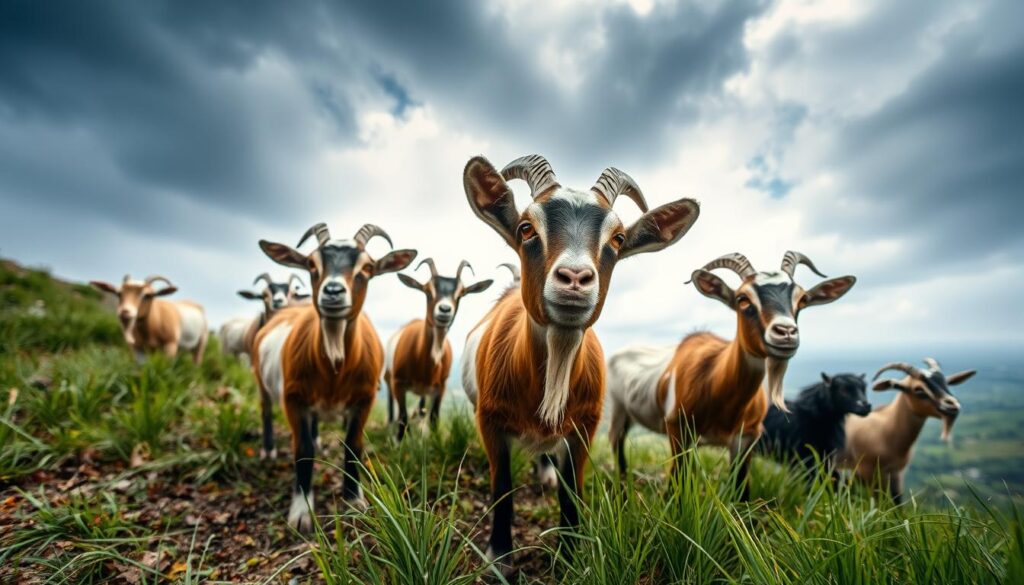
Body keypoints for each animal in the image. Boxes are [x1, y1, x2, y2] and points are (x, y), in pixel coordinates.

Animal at [252, 221, 415, 532]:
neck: (334, 366)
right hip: (261, 380)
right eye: (311, 264)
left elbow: (353, 445)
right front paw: (301, 511)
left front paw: (353, 500)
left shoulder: (365, 398)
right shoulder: (293, 398)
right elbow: (302, 450)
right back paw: (267, 449)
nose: (333, 290)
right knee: (265, 410)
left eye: (367, 267)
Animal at [385, 258, 493, 442]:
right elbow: (403, 417)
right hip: (388, 377)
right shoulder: (398, 383)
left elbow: (434, 417)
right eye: (427, 291)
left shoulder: (440, 387)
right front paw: (399, 442)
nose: (444, 310)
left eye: (460, 294)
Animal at [460, 154, 700, 561]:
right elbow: (502, 488)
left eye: (618, 239)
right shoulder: (488, 421)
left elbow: (571, 492)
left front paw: (571, 553)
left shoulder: (585, 427)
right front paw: (498, 555)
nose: (575, 278)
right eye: (526, 228)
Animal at [606, 252, 856, 499]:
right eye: (742, 298)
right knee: (616, 442)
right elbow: (676, 484)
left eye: (802, 299)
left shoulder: (746, 438)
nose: (785, 332)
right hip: (618, 409)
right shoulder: (677, 429)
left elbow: (741, 491)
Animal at [839, 356, 974, 504]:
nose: (952, 405)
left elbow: (897, 501)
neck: (886, 431)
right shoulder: (868, 472)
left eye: (946, 383)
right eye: (918, 390)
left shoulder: (896, 473)